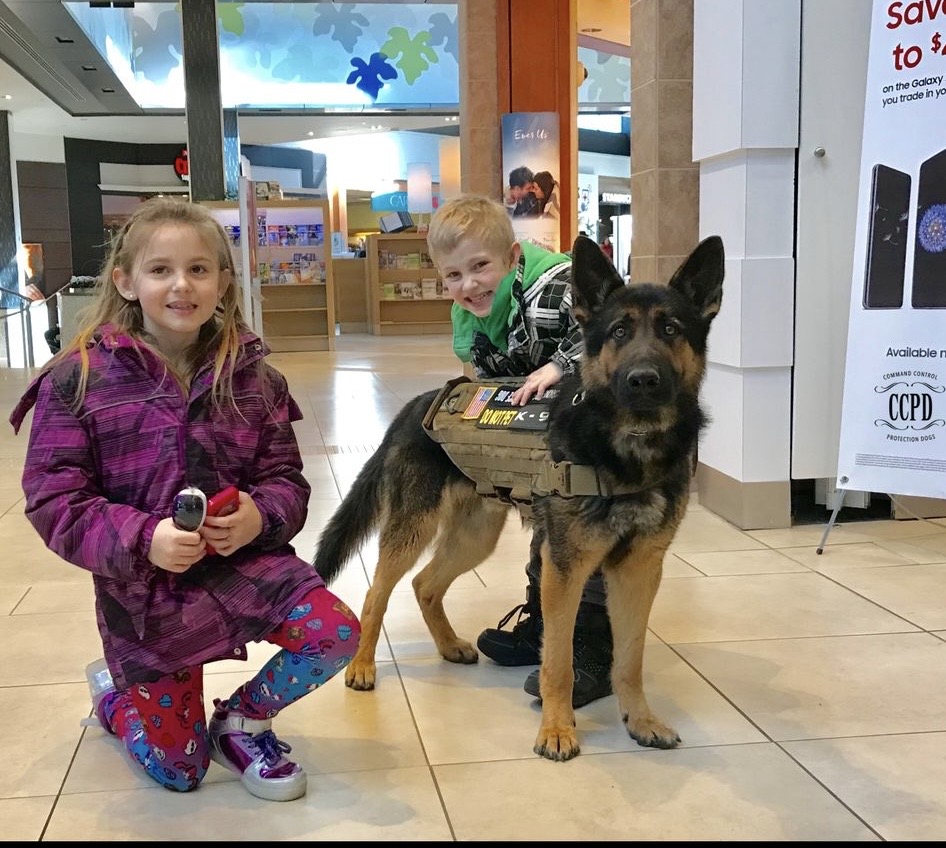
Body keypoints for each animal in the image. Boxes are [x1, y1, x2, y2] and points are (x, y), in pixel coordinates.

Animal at [316, 234, 724, 760]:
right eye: (618, 332)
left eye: (671, 329)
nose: (643, 380)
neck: (629, 444)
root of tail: (415, 405)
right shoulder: (565, 569)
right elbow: (558, 661)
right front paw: (557, 729)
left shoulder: (638, 572)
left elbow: (630, 659)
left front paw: (640, 720)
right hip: (414, 531)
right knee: (375, 595)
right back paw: (362, 666)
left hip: (476, 538)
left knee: (425, 584)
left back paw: (448, 645)